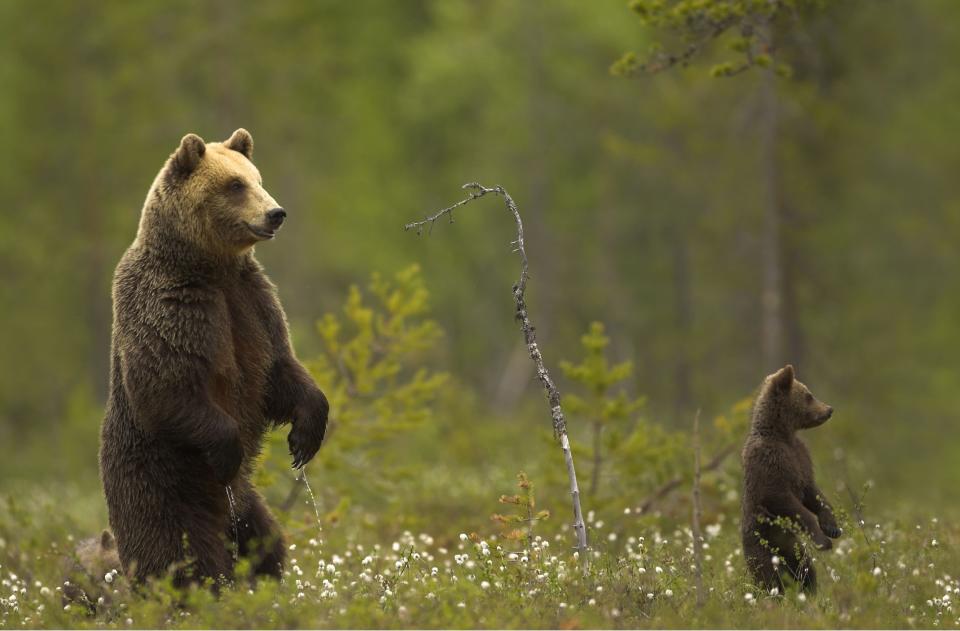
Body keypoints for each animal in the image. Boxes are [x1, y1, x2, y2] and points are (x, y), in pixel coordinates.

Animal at [99, 130, 328, 588]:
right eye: (234, 185)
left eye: (257, 178)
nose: (276, 213)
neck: (210, 266)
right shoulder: (172, 306)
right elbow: (166, 384)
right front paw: (228, 450)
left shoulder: (252, 302)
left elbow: (279, 370)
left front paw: (305, 436)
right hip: (161, 489)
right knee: (182, 559)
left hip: (247, 507)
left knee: (267, 544)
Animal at [744, 366, 840, 592]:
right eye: (809, 395)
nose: (829, 409)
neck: (782, 434)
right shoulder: (769, 461)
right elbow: (782, 499)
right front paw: (822, 539)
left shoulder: (801, 457)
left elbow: (812, 492)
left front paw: (831, 527)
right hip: (762, 543)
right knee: (768, 578)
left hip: (792, 548)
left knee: (805, 570)